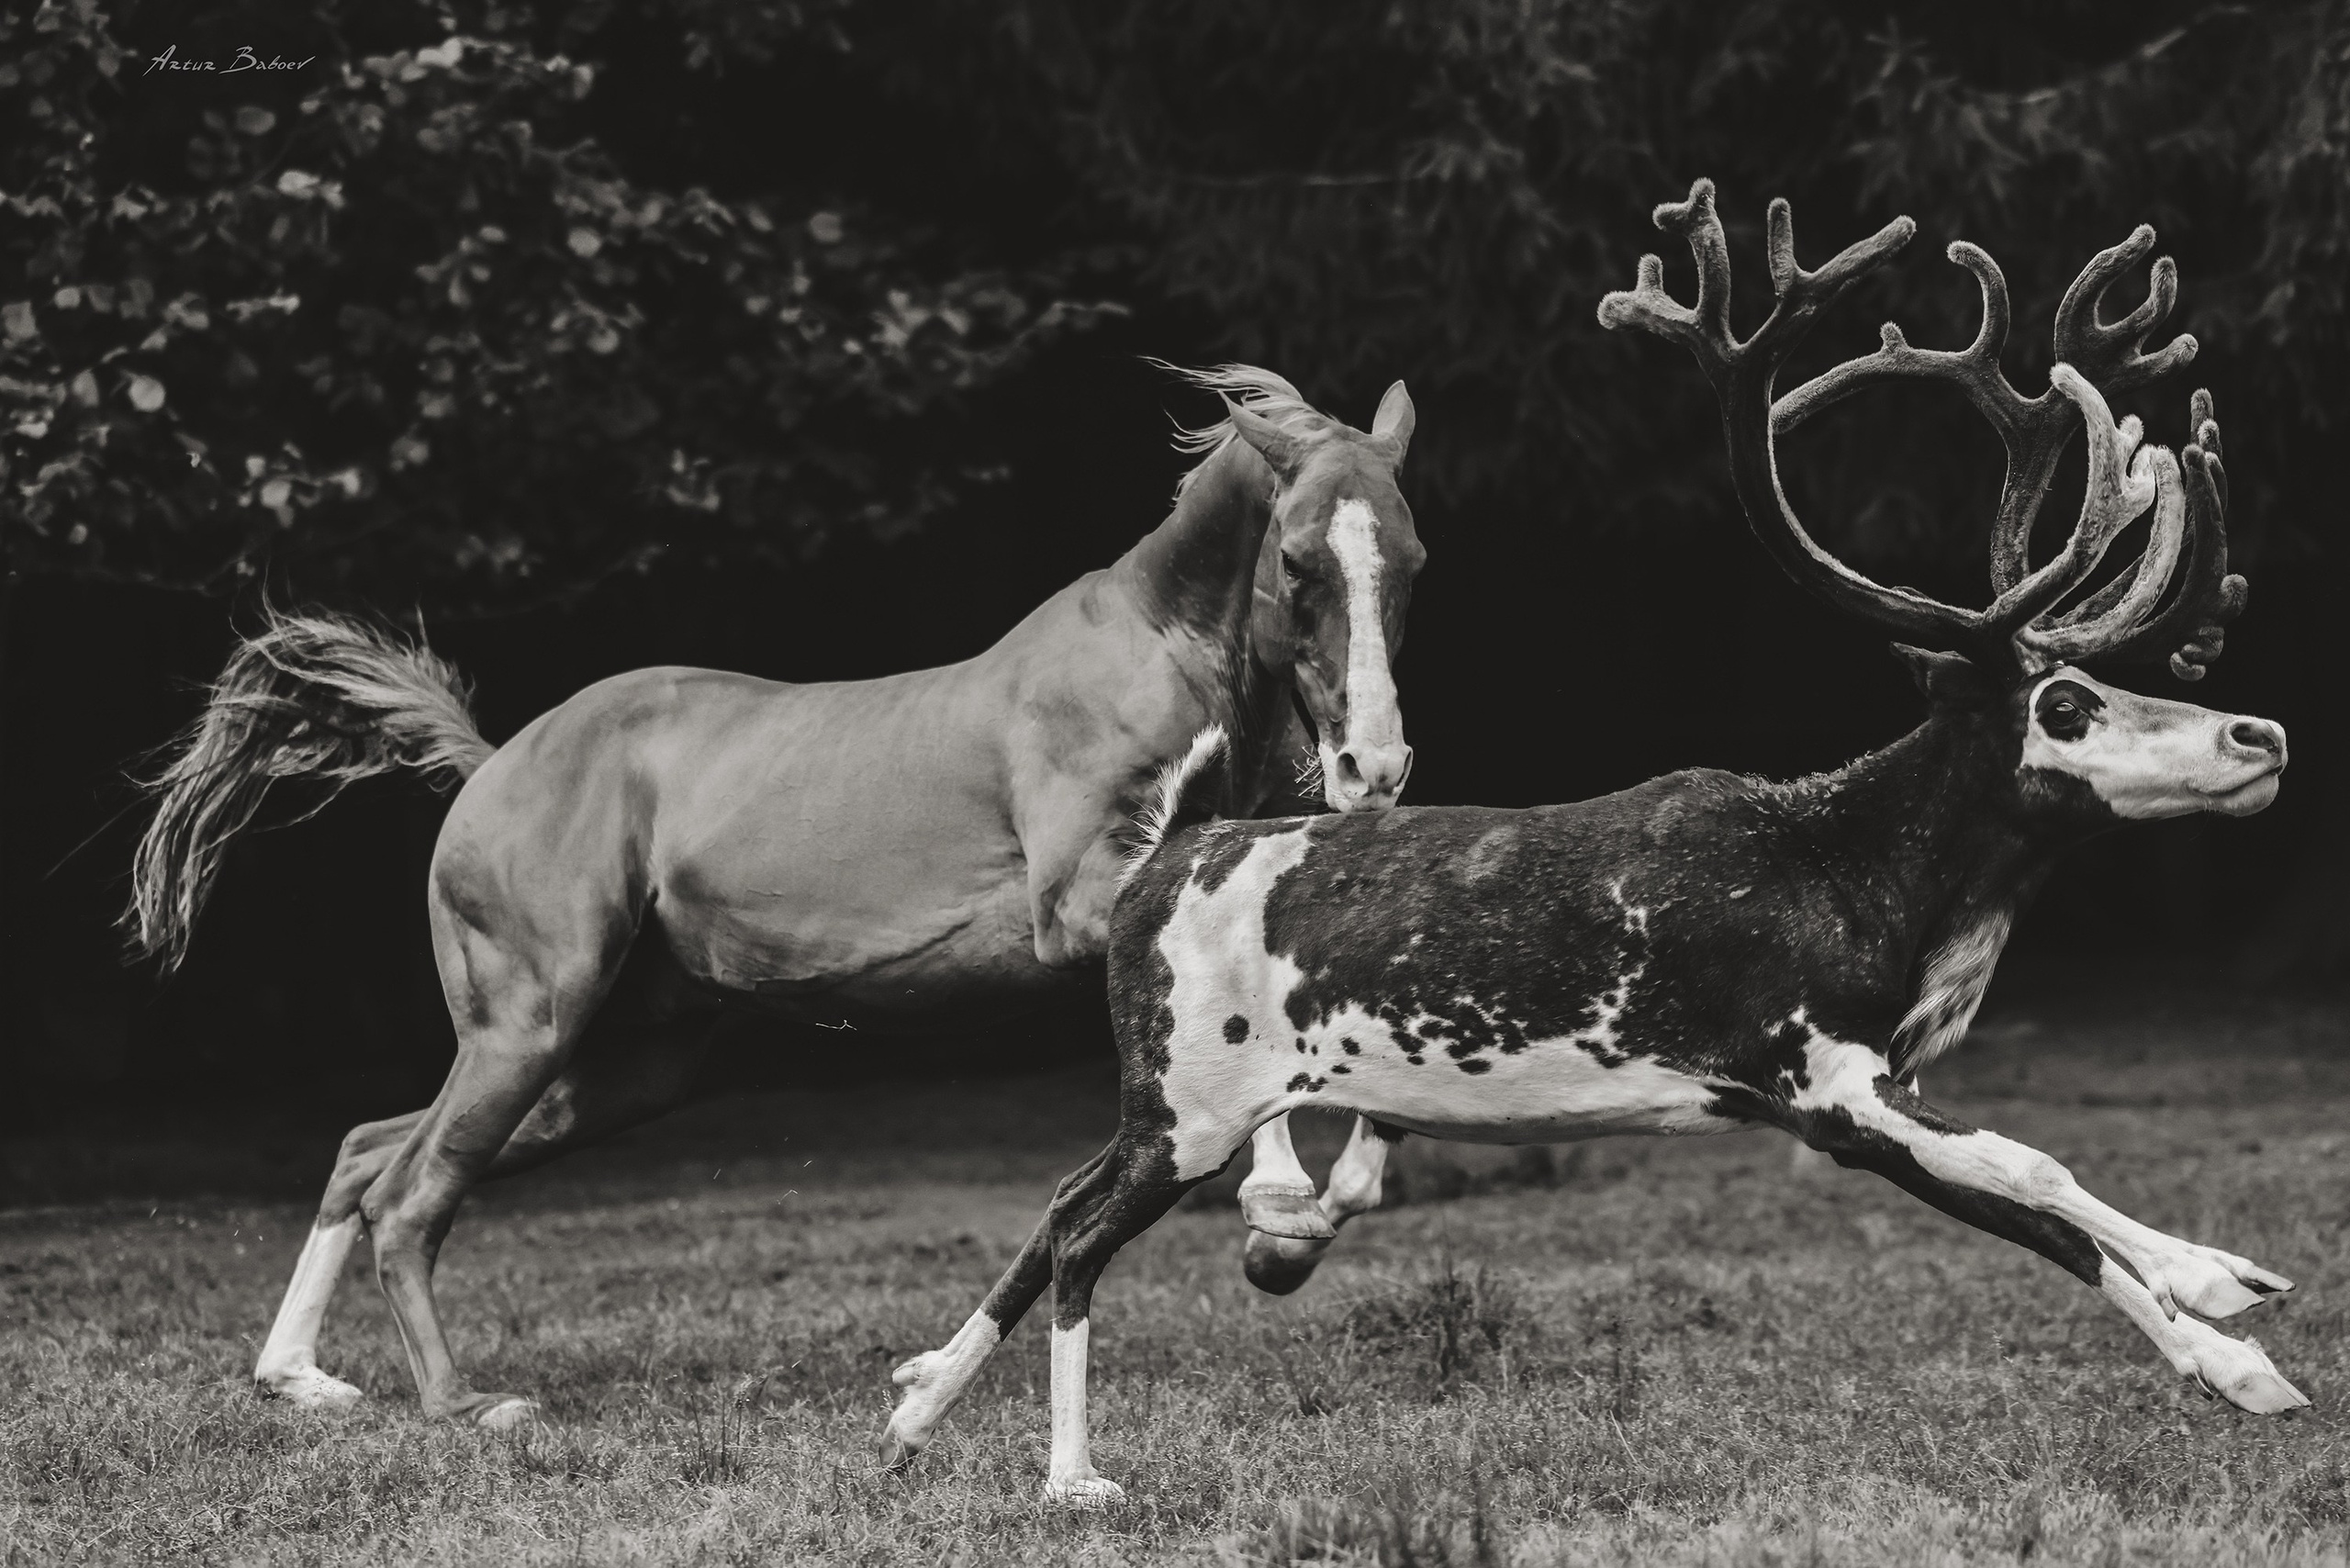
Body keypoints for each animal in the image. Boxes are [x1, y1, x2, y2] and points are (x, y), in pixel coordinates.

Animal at [123, 364, 1424, 1428]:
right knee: (406, 1192)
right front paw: (1282, 1216)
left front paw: (1316, 1205)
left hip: (614, 1070)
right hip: (527, 1026)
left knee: (362, 1153)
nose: (1374, 768)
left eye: (1410, 563)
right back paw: (464, 1406)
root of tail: (489, 760)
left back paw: (299, 1378)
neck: (1162, 654)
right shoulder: (1082, 904)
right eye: (1298, 560)